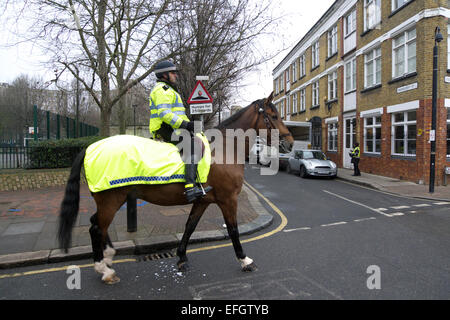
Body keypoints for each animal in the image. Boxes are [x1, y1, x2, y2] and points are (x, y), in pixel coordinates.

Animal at [58, 92, 294, 282]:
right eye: (274, 116)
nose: (290, 143)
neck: (225, 148)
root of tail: (90, 147)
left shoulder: (203, 200)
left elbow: (190, 226)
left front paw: (181, 257)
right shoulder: (228, 200)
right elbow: (233, 230)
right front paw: (244, 260)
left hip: (111, 199)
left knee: (96, 223)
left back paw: (107, 256)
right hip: (111, 199)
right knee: (96, 227)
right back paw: (104, 269)